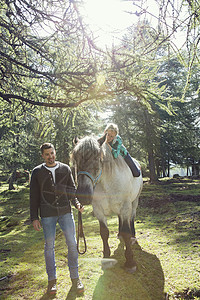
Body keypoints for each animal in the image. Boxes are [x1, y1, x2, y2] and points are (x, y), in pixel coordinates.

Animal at [72, 137, 143, 274]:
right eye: (75, 159)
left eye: (97, 159)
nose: (83, 194)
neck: (107, 183)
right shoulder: (98, 210)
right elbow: (104, 232)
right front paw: (106, 256)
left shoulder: (125, 207)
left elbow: (126, 232)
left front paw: (130, 262)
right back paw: (119, 234)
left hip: (134, 202)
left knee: (132, 218)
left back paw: (133, 237)